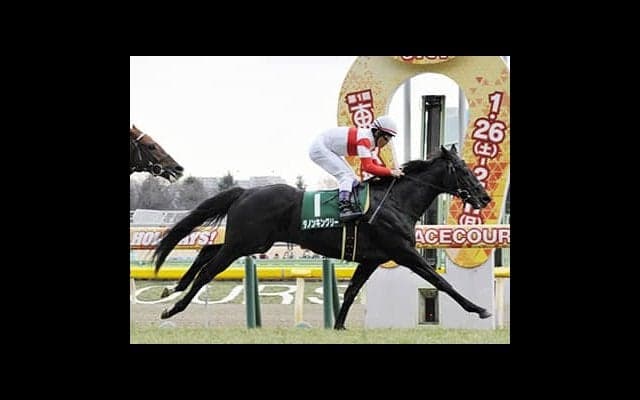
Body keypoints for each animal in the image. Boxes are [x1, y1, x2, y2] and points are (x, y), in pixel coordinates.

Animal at [152, 145, 493, 329]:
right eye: (464, 170)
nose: (485, 197)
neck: (396, 201)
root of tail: (246, 191)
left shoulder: (372, 258)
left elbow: (352, 290)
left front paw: (339, 325)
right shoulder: (403, 251)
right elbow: (440, 281)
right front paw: (479, 309)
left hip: (251, 241)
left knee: (207, 250)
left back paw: (174, 286)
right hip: (244, 243)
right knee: (209, 270)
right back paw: (172, 308)